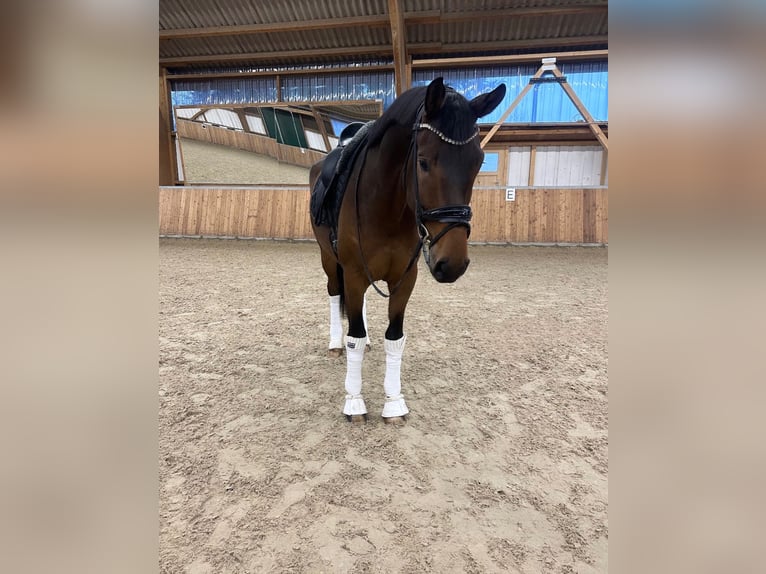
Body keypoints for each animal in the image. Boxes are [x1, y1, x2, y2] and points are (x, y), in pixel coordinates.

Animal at [308, 77, 508, 424]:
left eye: (478, 162)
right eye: (423, 162)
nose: (452, 263)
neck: (387, 206)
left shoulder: (405, 279)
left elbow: (394, 338)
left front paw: (394, 402)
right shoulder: (355, 273)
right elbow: (354, 338)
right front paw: (354, 402)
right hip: (329, 259)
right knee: (334, 294)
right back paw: (334, 343)